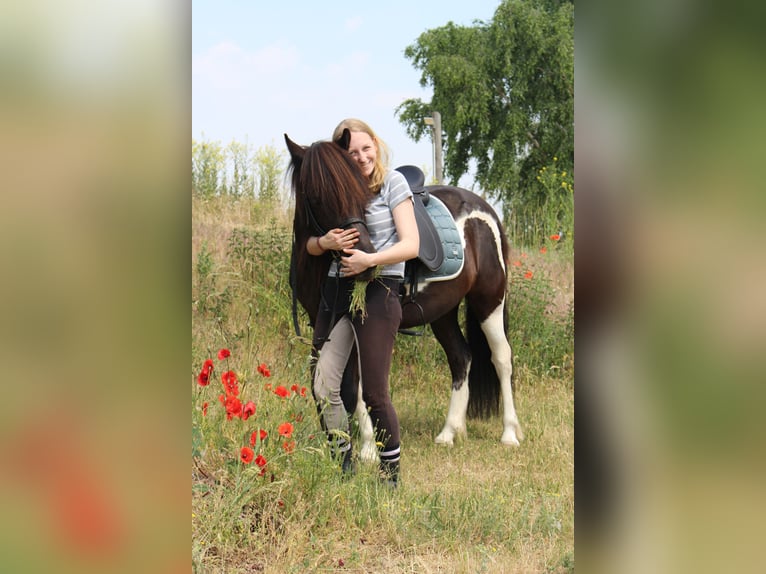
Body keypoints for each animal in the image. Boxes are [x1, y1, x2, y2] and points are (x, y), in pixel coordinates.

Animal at [284, 130, 524, 454]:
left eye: (360, 191)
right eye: (317, 195)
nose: (365, 257)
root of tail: (485, 210)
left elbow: (357, 386)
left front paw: (369, 448)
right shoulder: (323, 321)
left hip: (489, 302)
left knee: (501, 358)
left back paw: (509, 433)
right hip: (443, 312)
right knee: (461, 358)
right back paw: (450, 431)